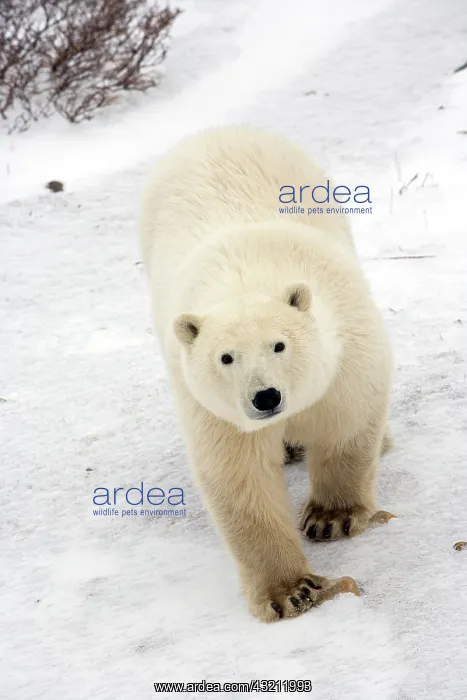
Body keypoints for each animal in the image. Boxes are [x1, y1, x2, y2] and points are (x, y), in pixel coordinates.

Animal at [139, 126, 393, 622]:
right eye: (225, 358)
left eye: (280, 344)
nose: (266, 397)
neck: (245, 274)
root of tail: (217, 131)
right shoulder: (213, 409)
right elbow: (241, 478)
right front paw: (291, 591)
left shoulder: (345, 355)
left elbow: (346, 423)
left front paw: (331, 518)